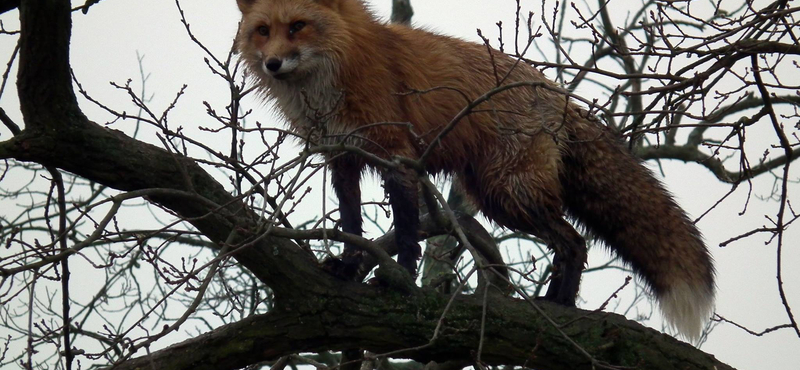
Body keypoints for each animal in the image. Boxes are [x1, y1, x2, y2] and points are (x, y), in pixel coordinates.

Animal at [234, 0, 716, 342]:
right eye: (263, 31)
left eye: (297, 26)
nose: (272, 63)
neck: (335, 74)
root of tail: (555, 91)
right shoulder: (342, 157)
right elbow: (352, 225)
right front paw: (349, 268)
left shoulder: (398, 156)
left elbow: (406, 231)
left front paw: (400, 281)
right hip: (492, 192)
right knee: (570, 242)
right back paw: (557, 305)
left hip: (510, 193)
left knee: (574, 241)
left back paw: (560, 307)